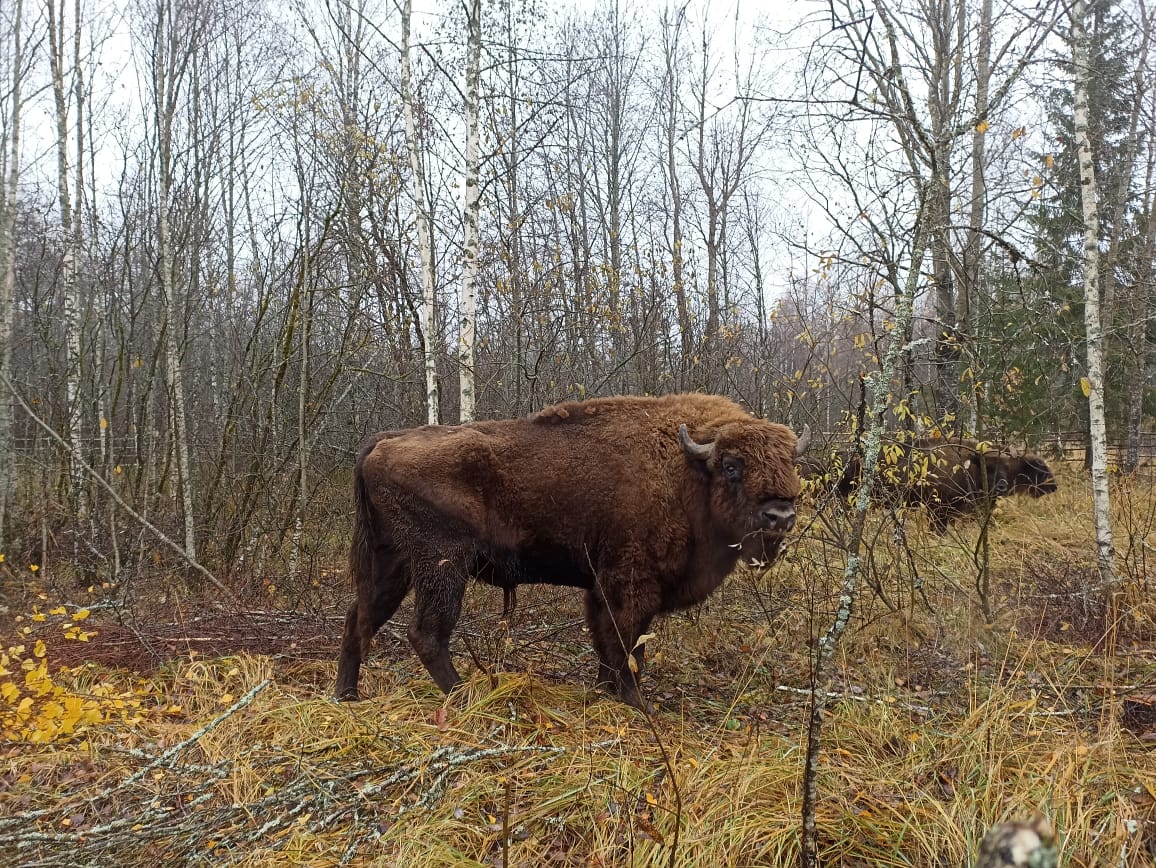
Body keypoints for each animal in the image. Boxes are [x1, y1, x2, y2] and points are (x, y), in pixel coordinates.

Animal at [330, 392, 809, 707]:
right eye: (731, 466)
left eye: (790, 463)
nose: (780, 516)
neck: (685, 469)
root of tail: (384, 441)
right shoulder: (631, 585)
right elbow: (627, 646)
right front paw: (636, 703)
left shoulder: (604, 589)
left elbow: (609, 646)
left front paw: (605, 693)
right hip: (442, 566)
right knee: (426, 633)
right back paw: (465, 697)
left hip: (392, 562)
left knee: (359, 619)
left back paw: (347, 696)